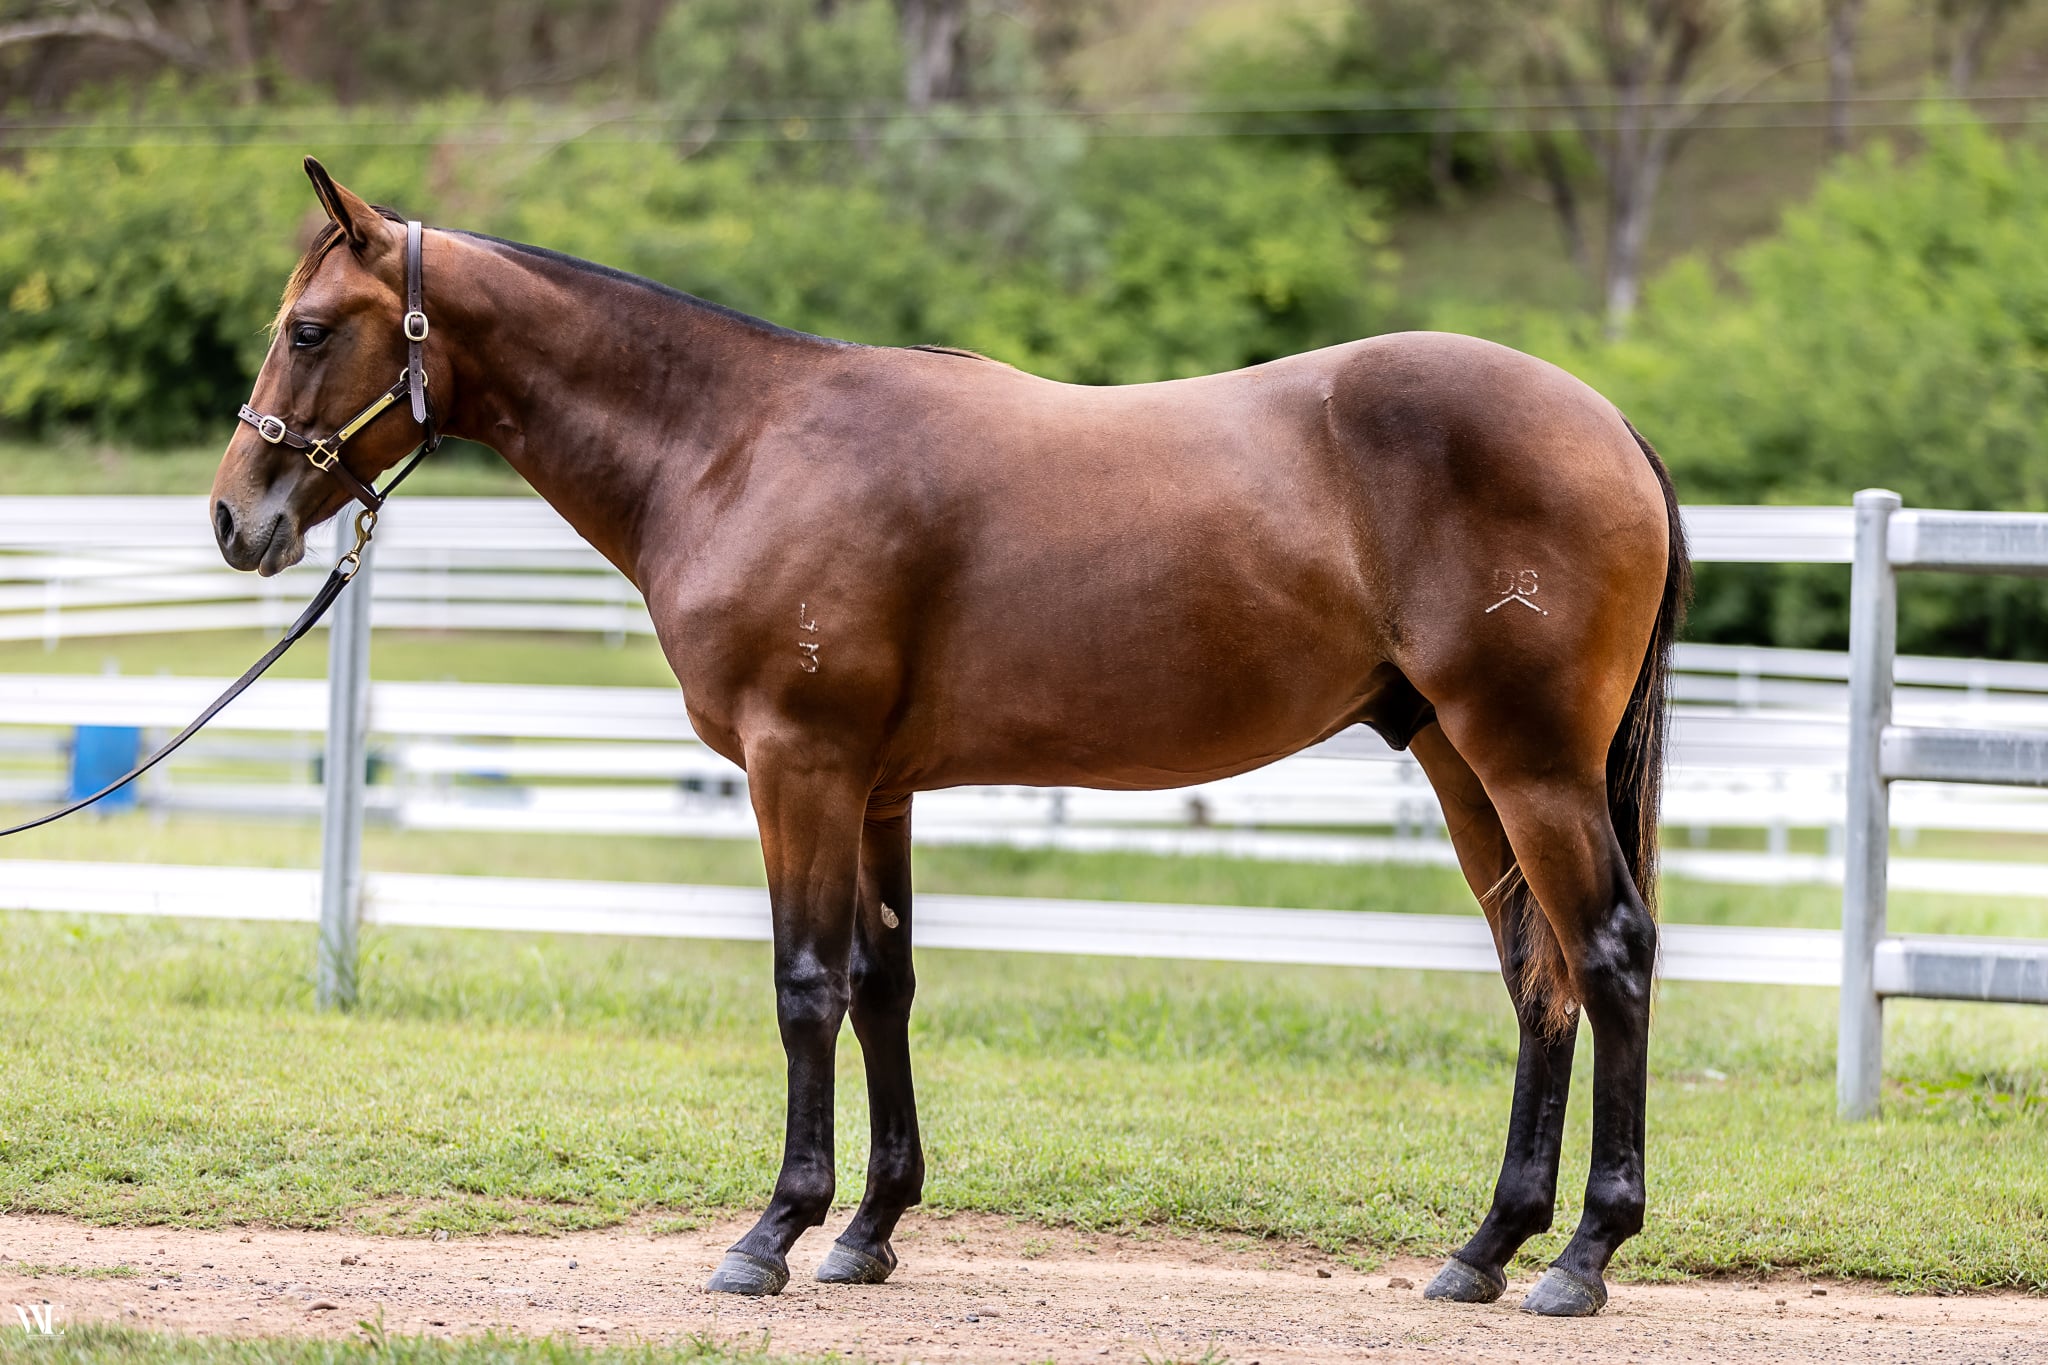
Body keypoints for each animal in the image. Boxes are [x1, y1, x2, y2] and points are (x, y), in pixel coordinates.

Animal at [212, 159, 1688, 1318]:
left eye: (307, 329)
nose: (236, 517)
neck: (738, 447)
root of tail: (1607, 420)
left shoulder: (799, 766)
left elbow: (806, 982)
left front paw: (774, 1230)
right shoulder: (878, 788)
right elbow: (883, 985)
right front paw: (868, 1229)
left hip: (1527, 763)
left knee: (1608, 954)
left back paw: (1582, 1256)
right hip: (1459, 763)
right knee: (1537, 974)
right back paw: (1487, 1248)